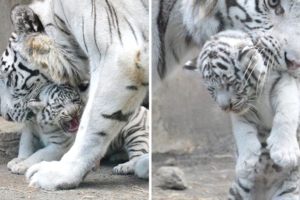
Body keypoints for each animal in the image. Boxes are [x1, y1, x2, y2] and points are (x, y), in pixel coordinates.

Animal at [0, 0, 149, 191]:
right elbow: (26, 142)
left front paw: (56, 174)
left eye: (8, 78)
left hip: (135, 132)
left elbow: (91, 128)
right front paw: (19, 160)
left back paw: (133, 165)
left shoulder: (120, 58)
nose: (5, 115)